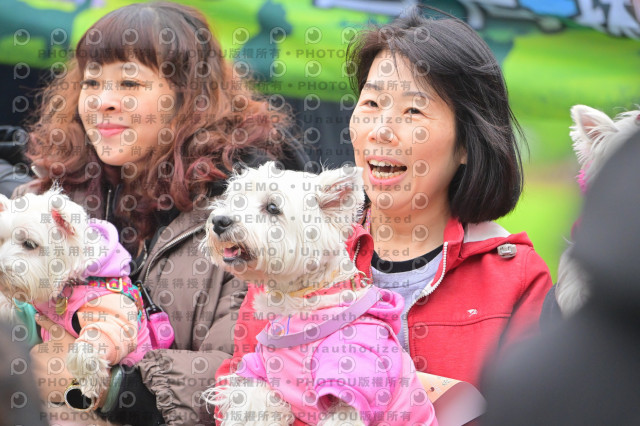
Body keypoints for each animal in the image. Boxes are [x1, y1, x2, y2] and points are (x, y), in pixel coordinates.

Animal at [0, 188, 152, 405]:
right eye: (1, 240)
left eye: (29, 244)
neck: (71, 284)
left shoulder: (113, 316)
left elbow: (96, 339)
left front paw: (91, 381)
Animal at [202, 162, 437, 425]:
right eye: (237, 199)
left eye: (273, 207)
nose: (219, 221)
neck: (301, 301)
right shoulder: (259, 368)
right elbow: (252, 403)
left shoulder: (353, 378)